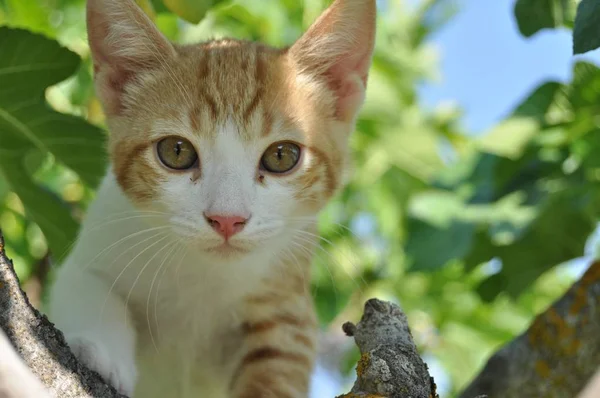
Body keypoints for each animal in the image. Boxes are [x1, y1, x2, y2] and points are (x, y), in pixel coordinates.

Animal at [48, 0, 376, 396]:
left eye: (282, 156)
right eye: (176, 151)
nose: (227, 219)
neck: (204, 274)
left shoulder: (289, 309)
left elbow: (278, 369)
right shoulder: (100, 238)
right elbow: (90, 286)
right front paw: (101, 351)